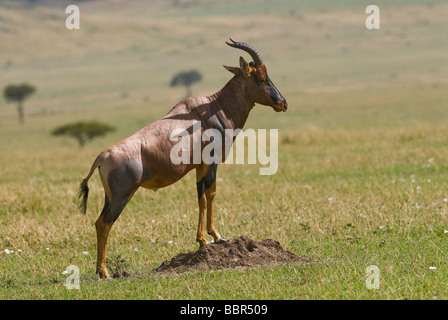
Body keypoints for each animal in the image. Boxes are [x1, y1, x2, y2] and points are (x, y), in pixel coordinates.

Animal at [79, 38, 288, 278]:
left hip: (109, 196)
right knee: (105, 223)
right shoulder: (212, 162)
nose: (283, 103)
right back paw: (105, 273)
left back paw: (100, 270)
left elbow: (201, 198)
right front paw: (218, 237)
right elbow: (211, 194)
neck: (213, 108)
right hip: (123, 194)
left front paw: (202, 241)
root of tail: (101, 157)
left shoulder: (199, 166)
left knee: (98, 222)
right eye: (261, 77)